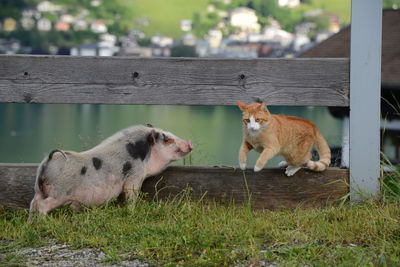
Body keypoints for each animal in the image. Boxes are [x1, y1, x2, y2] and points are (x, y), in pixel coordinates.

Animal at [28, 124, 193, 219]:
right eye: (167, 140)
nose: (189, 142)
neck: (143, 156)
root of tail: (48, 161)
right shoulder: (135, 175)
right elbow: (131, 194)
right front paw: (132, 211)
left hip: (38, 189)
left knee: (33, 203)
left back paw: (31, 224)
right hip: (59, 193)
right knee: (42, 205)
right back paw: (45, 223)